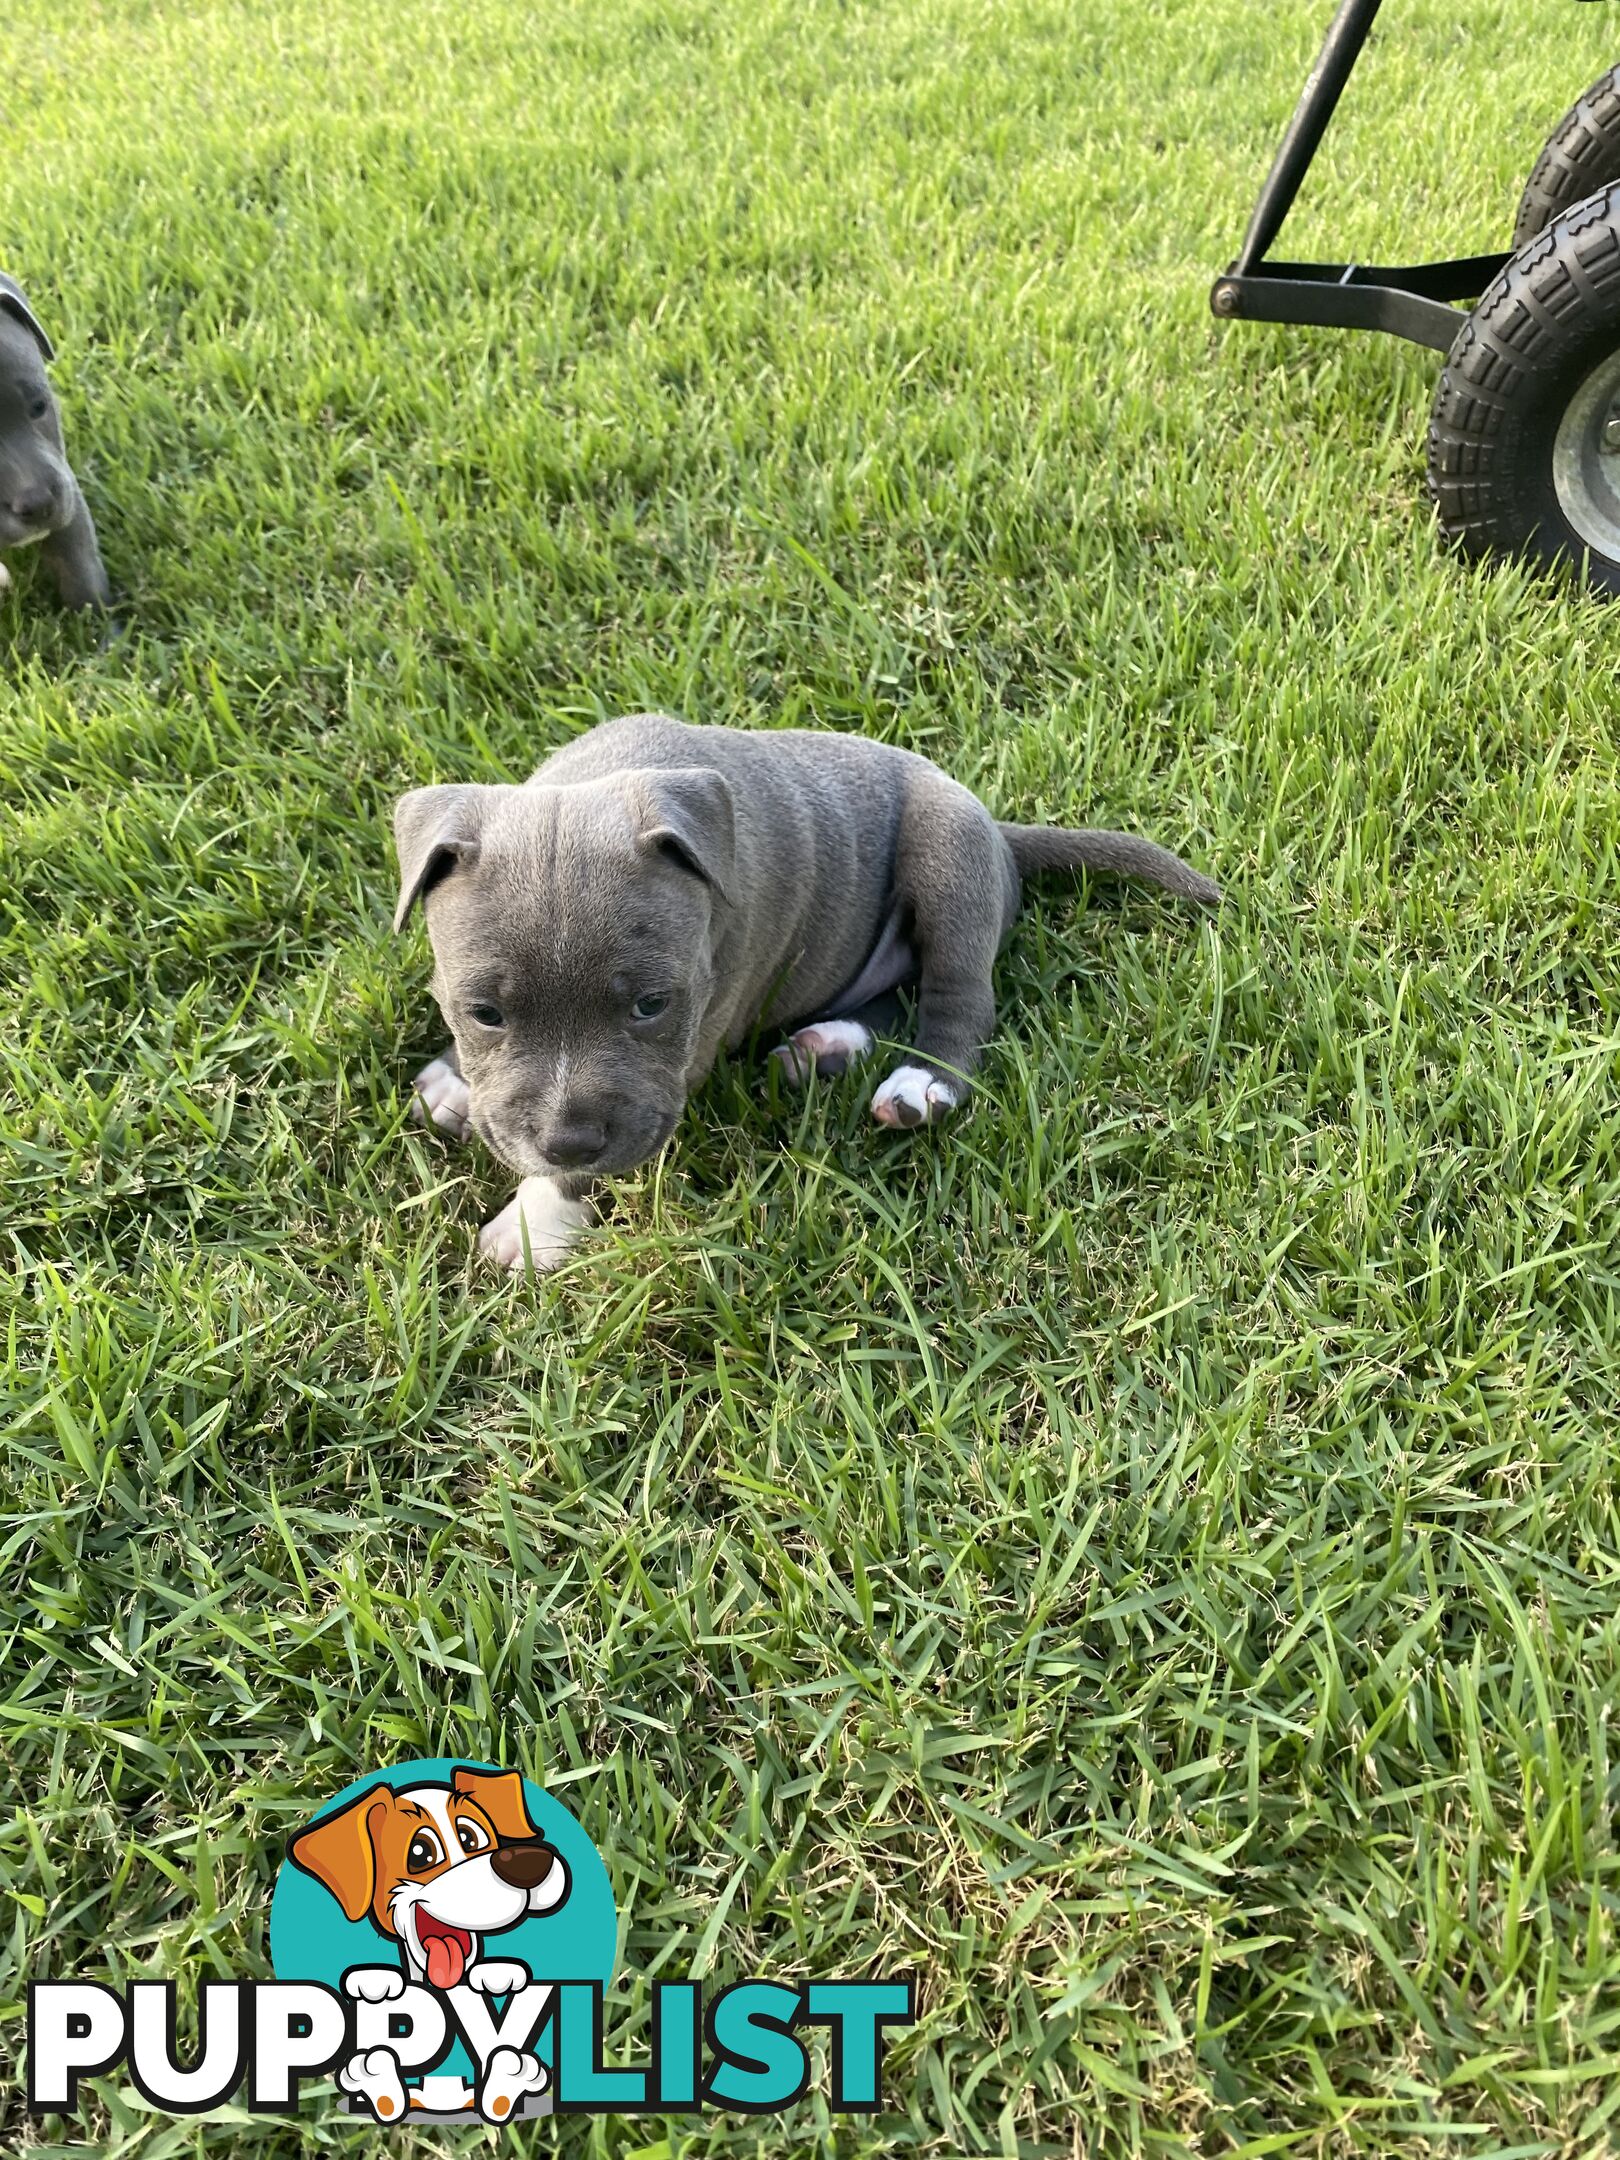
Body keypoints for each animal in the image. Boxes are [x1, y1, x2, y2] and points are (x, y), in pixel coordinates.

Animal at [399, 717, 1226, 1270]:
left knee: (959, 999)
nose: (566, 1137)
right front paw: (456, 1081)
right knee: (890, 995)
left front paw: (534, 1222)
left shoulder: (687, 1044)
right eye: (485, 1013)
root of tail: (1000, 832)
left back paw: (920, 1084)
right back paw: (824, 1046)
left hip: (947, 856)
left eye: (651, 1006)